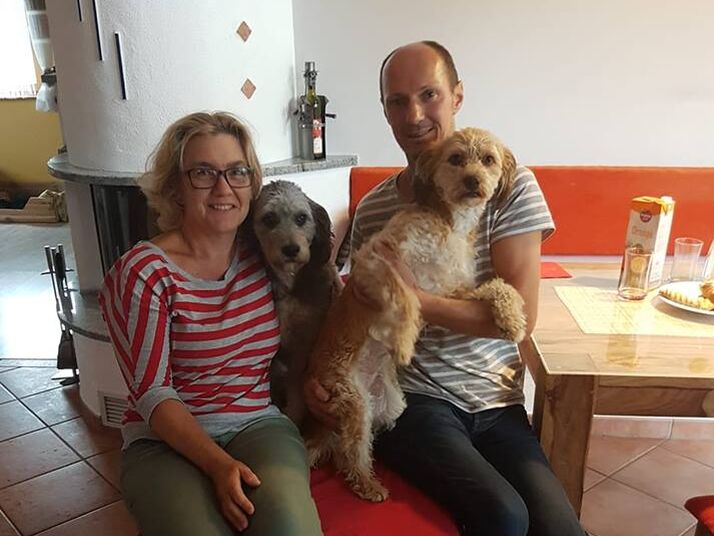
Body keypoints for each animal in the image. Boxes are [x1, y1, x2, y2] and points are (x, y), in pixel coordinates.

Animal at [251, 180, 343, 425]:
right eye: (269, 218)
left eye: (301, 218)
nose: (291, 249)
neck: (290, 281)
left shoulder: (305, 340)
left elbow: (296, 385)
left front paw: (295, 413)